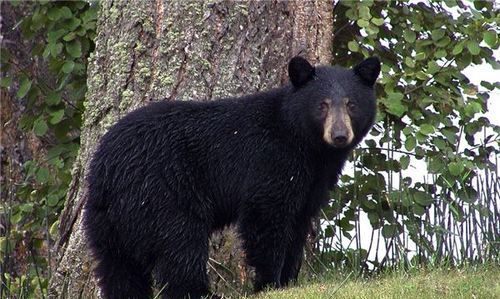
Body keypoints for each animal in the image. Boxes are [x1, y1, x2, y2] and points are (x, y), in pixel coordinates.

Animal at [84, 55, 378, 298]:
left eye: (351, 104)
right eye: (322, 105)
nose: (339, 135)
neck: (307, 145)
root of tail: (106, 169)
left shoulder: (313, 181)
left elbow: (298, 223)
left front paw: (289, 282)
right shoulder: (271, 161)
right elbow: (266, 217)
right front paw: (269, 284)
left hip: (106, 221)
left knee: (118, 268)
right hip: (161, 194)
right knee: (180, 246)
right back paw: (202, 293)